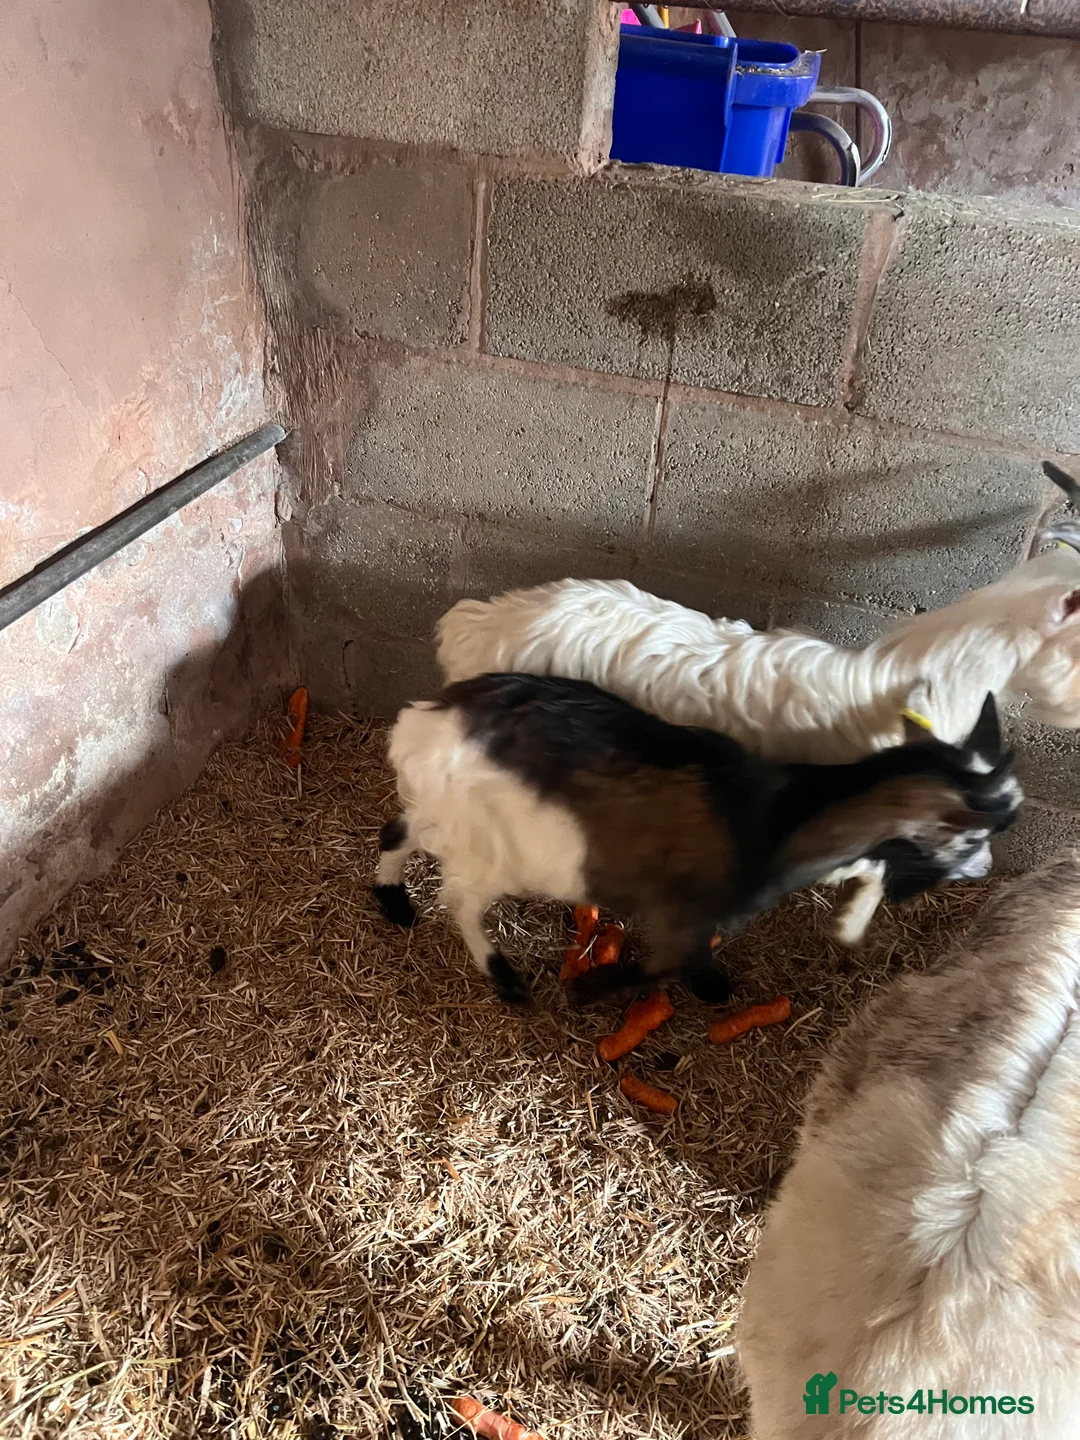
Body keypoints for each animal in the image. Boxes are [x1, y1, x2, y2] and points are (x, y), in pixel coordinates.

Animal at [373, 674, 1021, 1007]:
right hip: (493, 847)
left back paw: (394, 902)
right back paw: (505, 979)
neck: (772, 819)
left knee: (395, 830)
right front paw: (595, 994)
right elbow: (663, 966)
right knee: (461, 899)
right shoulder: (681, 913)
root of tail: (427, 719)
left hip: (441, 814)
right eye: (977, 837)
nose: (985, 870)